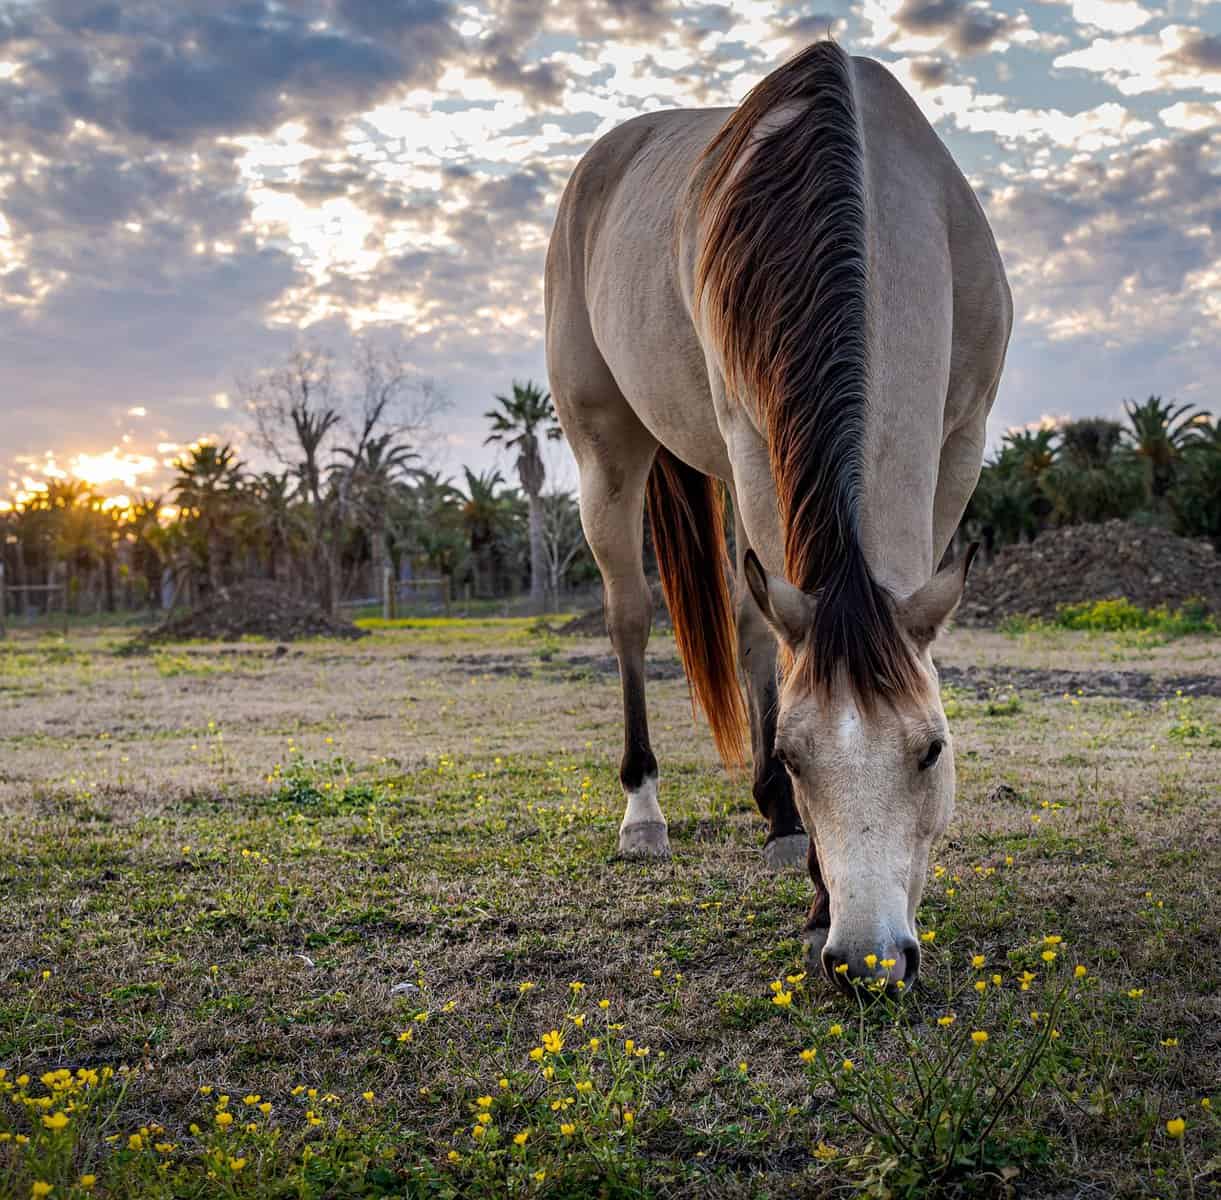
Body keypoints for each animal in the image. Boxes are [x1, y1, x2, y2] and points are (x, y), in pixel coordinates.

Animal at [544, 42, 1010, 991]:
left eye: (932, 750)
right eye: (799, 755)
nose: (868, 961)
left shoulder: (962, 441)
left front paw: (792, 831)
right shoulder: (753, 439)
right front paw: (815, 895)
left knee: (753, 619)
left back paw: (774, 823)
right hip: (607, 451)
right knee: (629, 616)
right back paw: (642, 813)